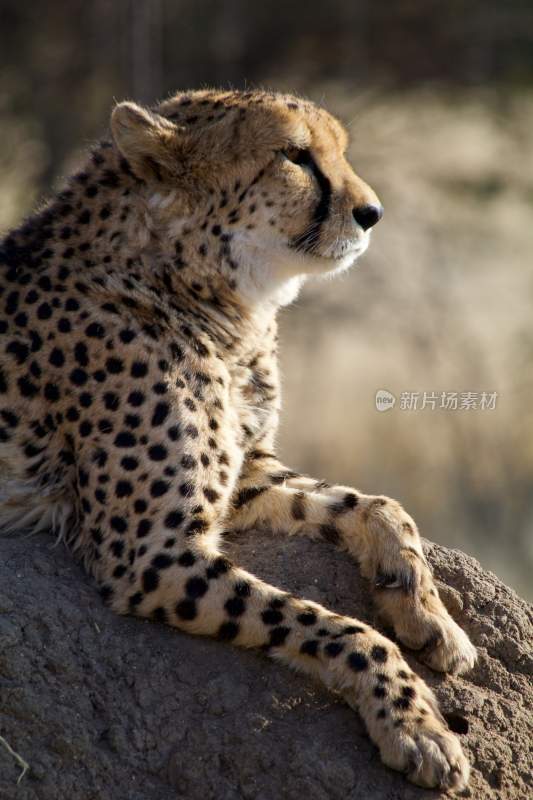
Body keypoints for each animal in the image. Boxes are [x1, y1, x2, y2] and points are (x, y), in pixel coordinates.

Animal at [0, 90, 474, 792]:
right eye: (296, 155)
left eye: (338, 149)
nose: (373, 213)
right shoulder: (151, 553)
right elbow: (338, 627)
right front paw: (417, 727)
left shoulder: (245, 469)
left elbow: (378, 506)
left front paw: (431, 617)